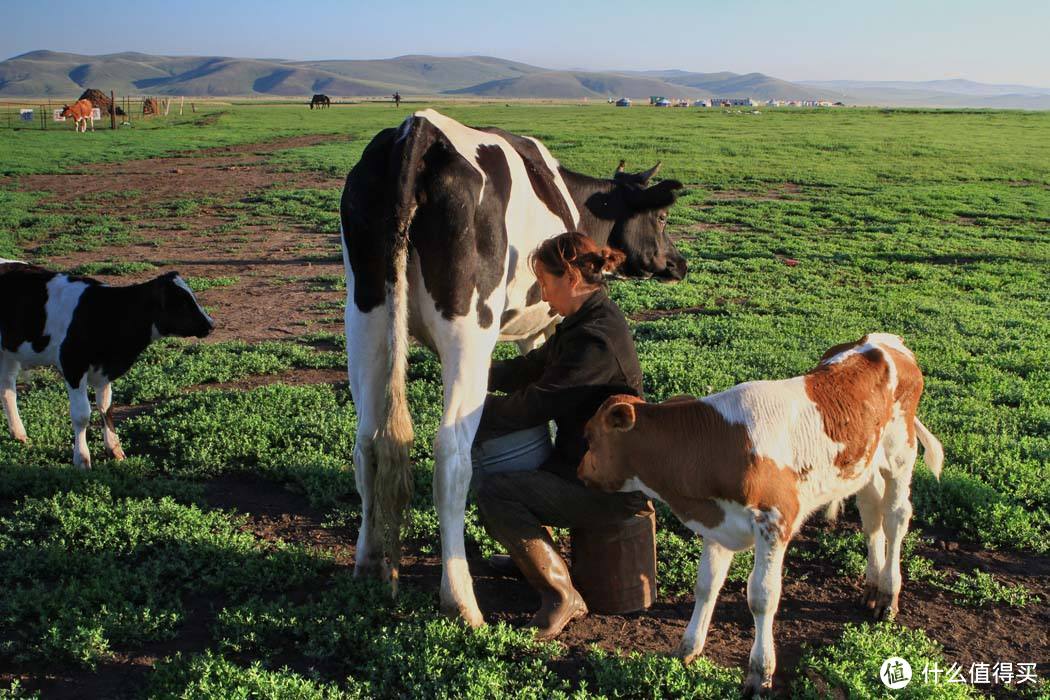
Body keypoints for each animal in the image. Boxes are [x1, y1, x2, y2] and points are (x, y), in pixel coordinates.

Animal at [0, 260, 215, 468]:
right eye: (181, 303)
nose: (211, 324)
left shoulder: (104, 371)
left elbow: (106, 406)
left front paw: (114, 449)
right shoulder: (73, 365)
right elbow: (82, 415)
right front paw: (82, 459)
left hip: (7, 356)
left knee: (7, 391)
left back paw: (19, 434)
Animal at [340, 108, 688, 625]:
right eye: (662, 216)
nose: (680, 264)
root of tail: (417, 130)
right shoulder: (543, 327)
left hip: (365, 314)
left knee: (367, 441)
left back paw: (367, 563)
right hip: (469, 327)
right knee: (450, 454)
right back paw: (461, 599)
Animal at [579, 333, 949, 696]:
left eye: (590, 436)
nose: (581, 472)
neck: (716, 443)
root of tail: (884, 340)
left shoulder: (775, 522)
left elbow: (762, 597)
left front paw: (760, 673)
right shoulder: (718, 521)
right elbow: (706, 585)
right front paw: (688, 648)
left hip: (900, 453)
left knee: (895, 517)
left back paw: (888, 594)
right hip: (864, 464)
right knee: (871, 513)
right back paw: (872, 587)